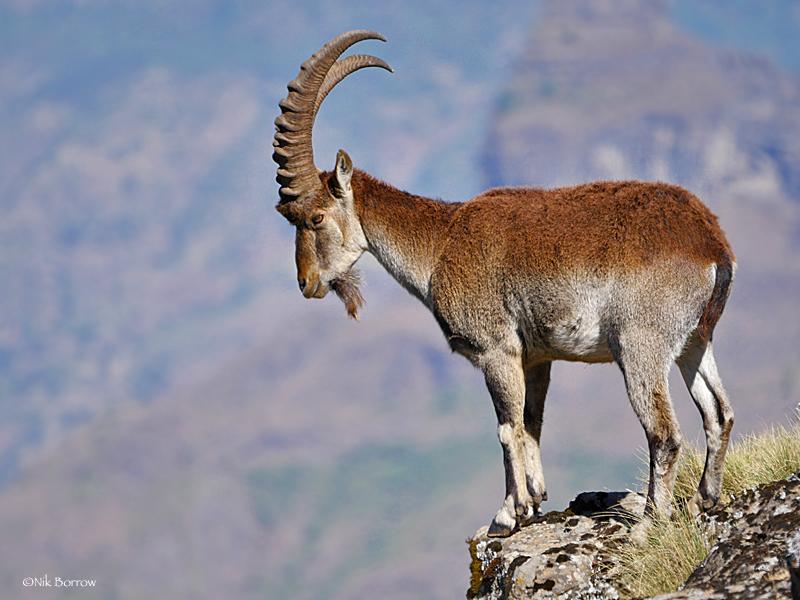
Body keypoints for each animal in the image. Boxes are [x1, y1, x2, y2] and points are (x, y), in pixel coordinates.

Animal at [272, 31, 735, 537]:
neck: (442, 243)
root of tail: (711, 245)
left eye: (315, 217)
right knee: (719, 413)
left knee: (664, 432)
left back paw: (651, 521)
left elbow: (505, 427)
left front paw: (506, 514)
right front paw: (535, 500)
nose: (306, 282)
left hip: (640, 345)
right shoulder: (535, 357)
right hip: (695, 341)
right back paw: (704, 500)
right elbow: (531, 423)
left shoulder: (496, 349)